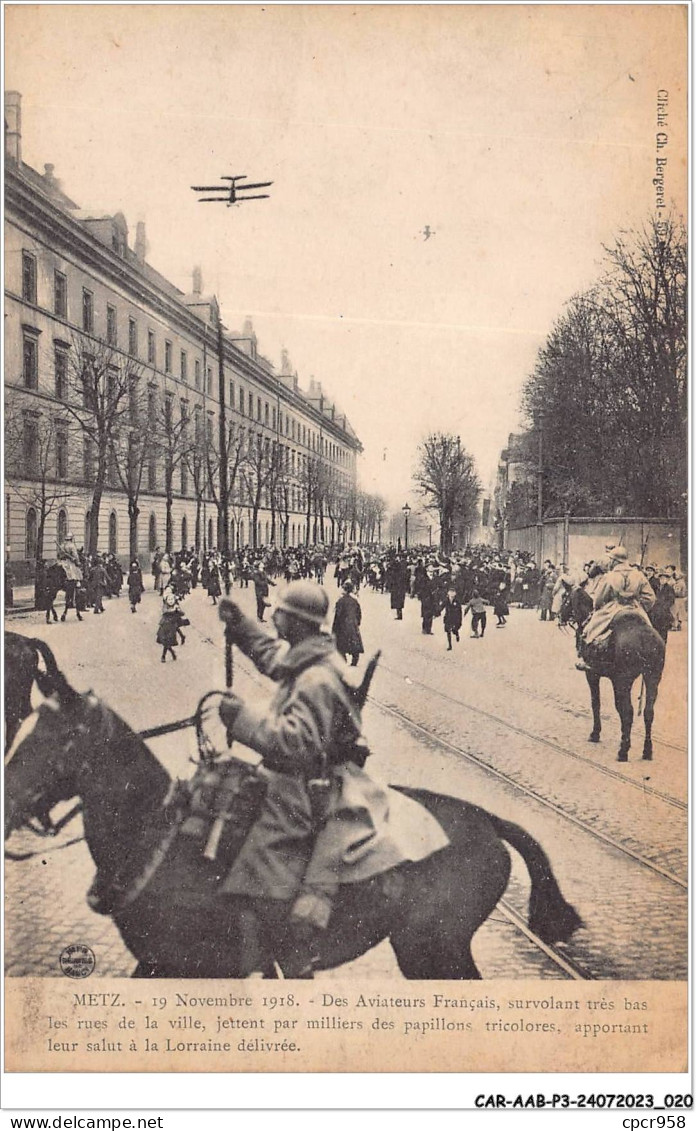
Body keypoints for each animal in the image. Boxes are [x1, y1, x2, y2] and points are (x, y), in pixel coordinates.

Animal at [5, 674, 583, 977]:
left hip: (434, 950)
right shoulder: (158, 965)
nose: (7, 798)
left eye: (61, 737)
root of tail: (488, 820)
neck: (162, 840)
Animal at [559, 583, 665, 760]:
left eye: (564, 597)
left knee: (629, 711)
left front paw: (595, 733)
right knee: (648, 712)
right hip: (653, 678)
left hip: (624, 681)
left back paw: (623, 751)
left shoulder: (592, 674)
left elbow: (596, 703)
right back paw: (647, 751)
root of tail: (645, 636)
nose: (559, 617)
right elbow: (618, 708)